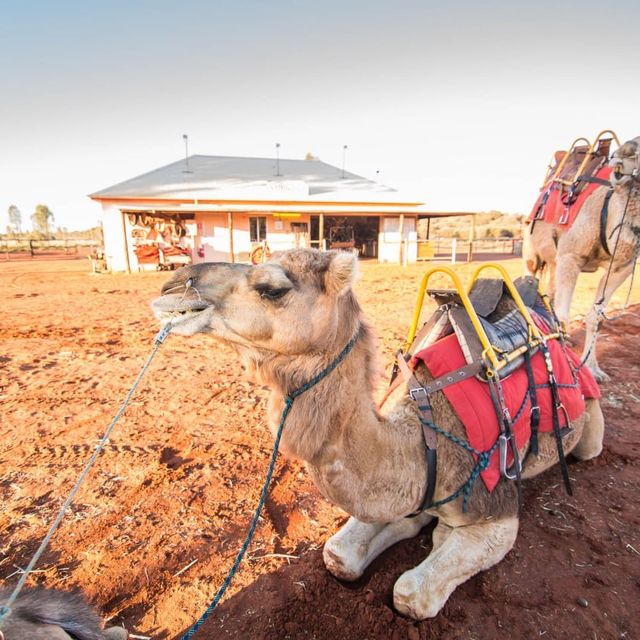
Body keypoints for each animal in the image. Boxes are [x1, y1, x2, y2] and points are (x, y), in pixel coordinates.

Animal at [150, 250, 604, 620]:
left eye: (272, 287)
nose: (172, 285)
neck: (419, 442)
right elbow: (339, 555)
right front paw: (413, 525)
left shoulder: (496, 510)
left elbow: (409, 593)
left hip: (589, 425)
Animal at [524, 135, 640, 380]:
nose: (623, 153)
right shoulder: (571, 255)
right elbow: (563, 315)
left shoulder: (622, 267)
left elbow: (596, 317)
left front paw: (594, 369)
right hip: (531, 251)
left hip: (554, 260)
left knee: (549, 293)